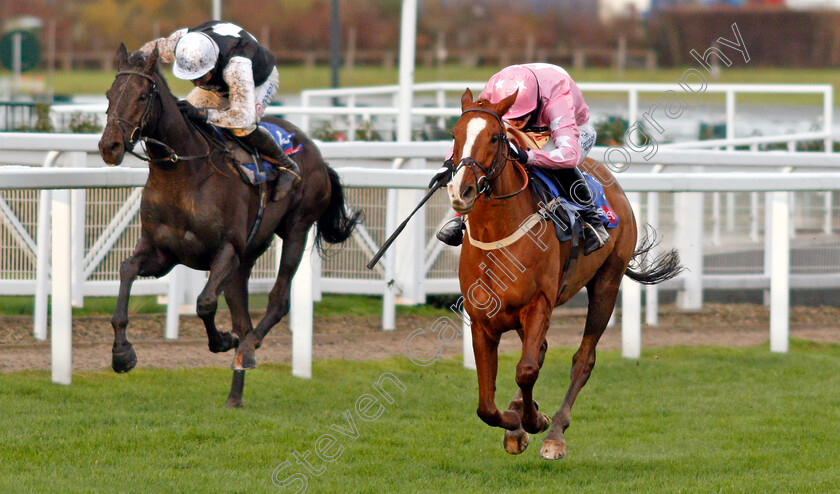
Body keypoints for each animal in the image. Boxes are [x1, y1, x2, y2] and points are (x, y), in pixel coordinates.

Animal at [98, 46, 360, 408]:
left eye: (141, 96)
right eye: (109, 95)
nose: (109, 146)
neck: (181, 175)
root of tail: (316, 153)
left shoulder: (226, 251)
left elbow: (205, 302)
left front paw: (222, 340)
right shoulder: (162, 253)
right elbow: (126, 270)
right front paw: (122, 354)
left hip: (296, 230)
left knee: (277, 302)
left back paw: (246, 350)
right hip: (245, 261)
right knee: (244, 319)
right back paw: (234, 396)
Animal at [446, 89, 684, 460]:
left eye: (496, 137)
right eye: (455, 136)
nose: (462, 191)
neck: (498, 236)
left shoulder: (538, 304)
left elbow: (526, 370)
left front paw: (534, 421)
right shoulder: (483, 319)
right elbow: (486, 405)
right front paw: (514, 423)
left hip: (606, 283)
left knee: (583, 359)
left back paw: (555, 432)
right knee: (541, 350)